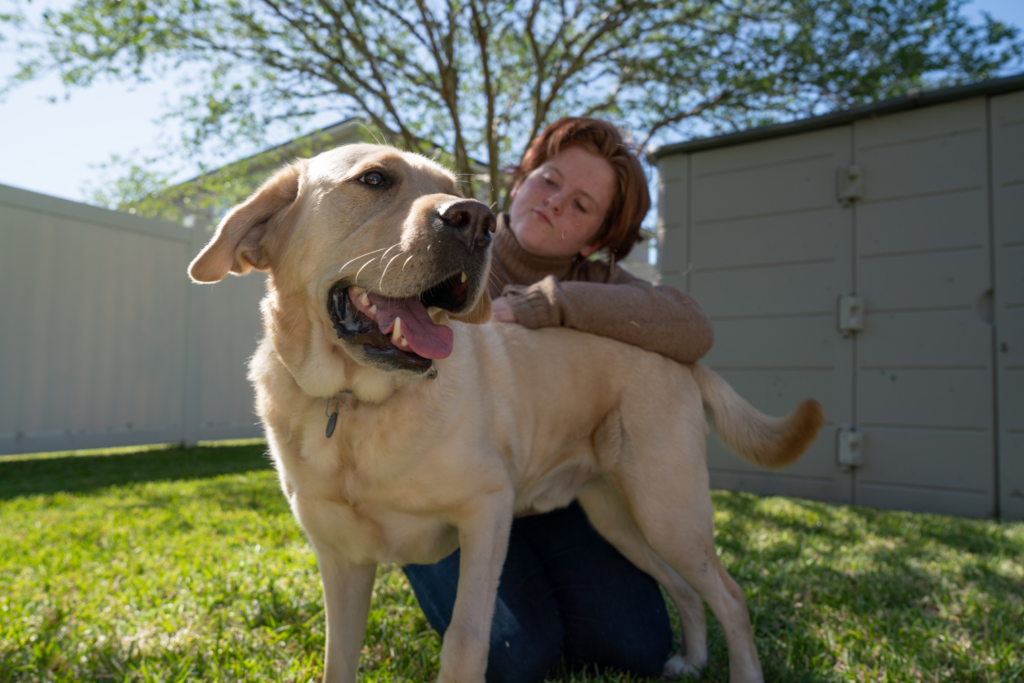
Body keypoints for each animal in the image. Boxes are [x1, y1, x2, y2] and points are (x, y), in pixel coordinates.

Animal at [186, 144, 823, 683]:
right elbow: (336, 661)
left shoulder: (486, 513)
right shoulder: (341, 561)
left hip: (668, 509)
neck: (355, 405)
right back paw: (689, 661)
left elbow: (468, 641)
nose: (477, 220)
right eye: (374, 180)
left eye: (452, 189)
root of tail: (681, 360)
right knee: (684, 591)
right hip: (620, 517)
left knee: (730, 597)